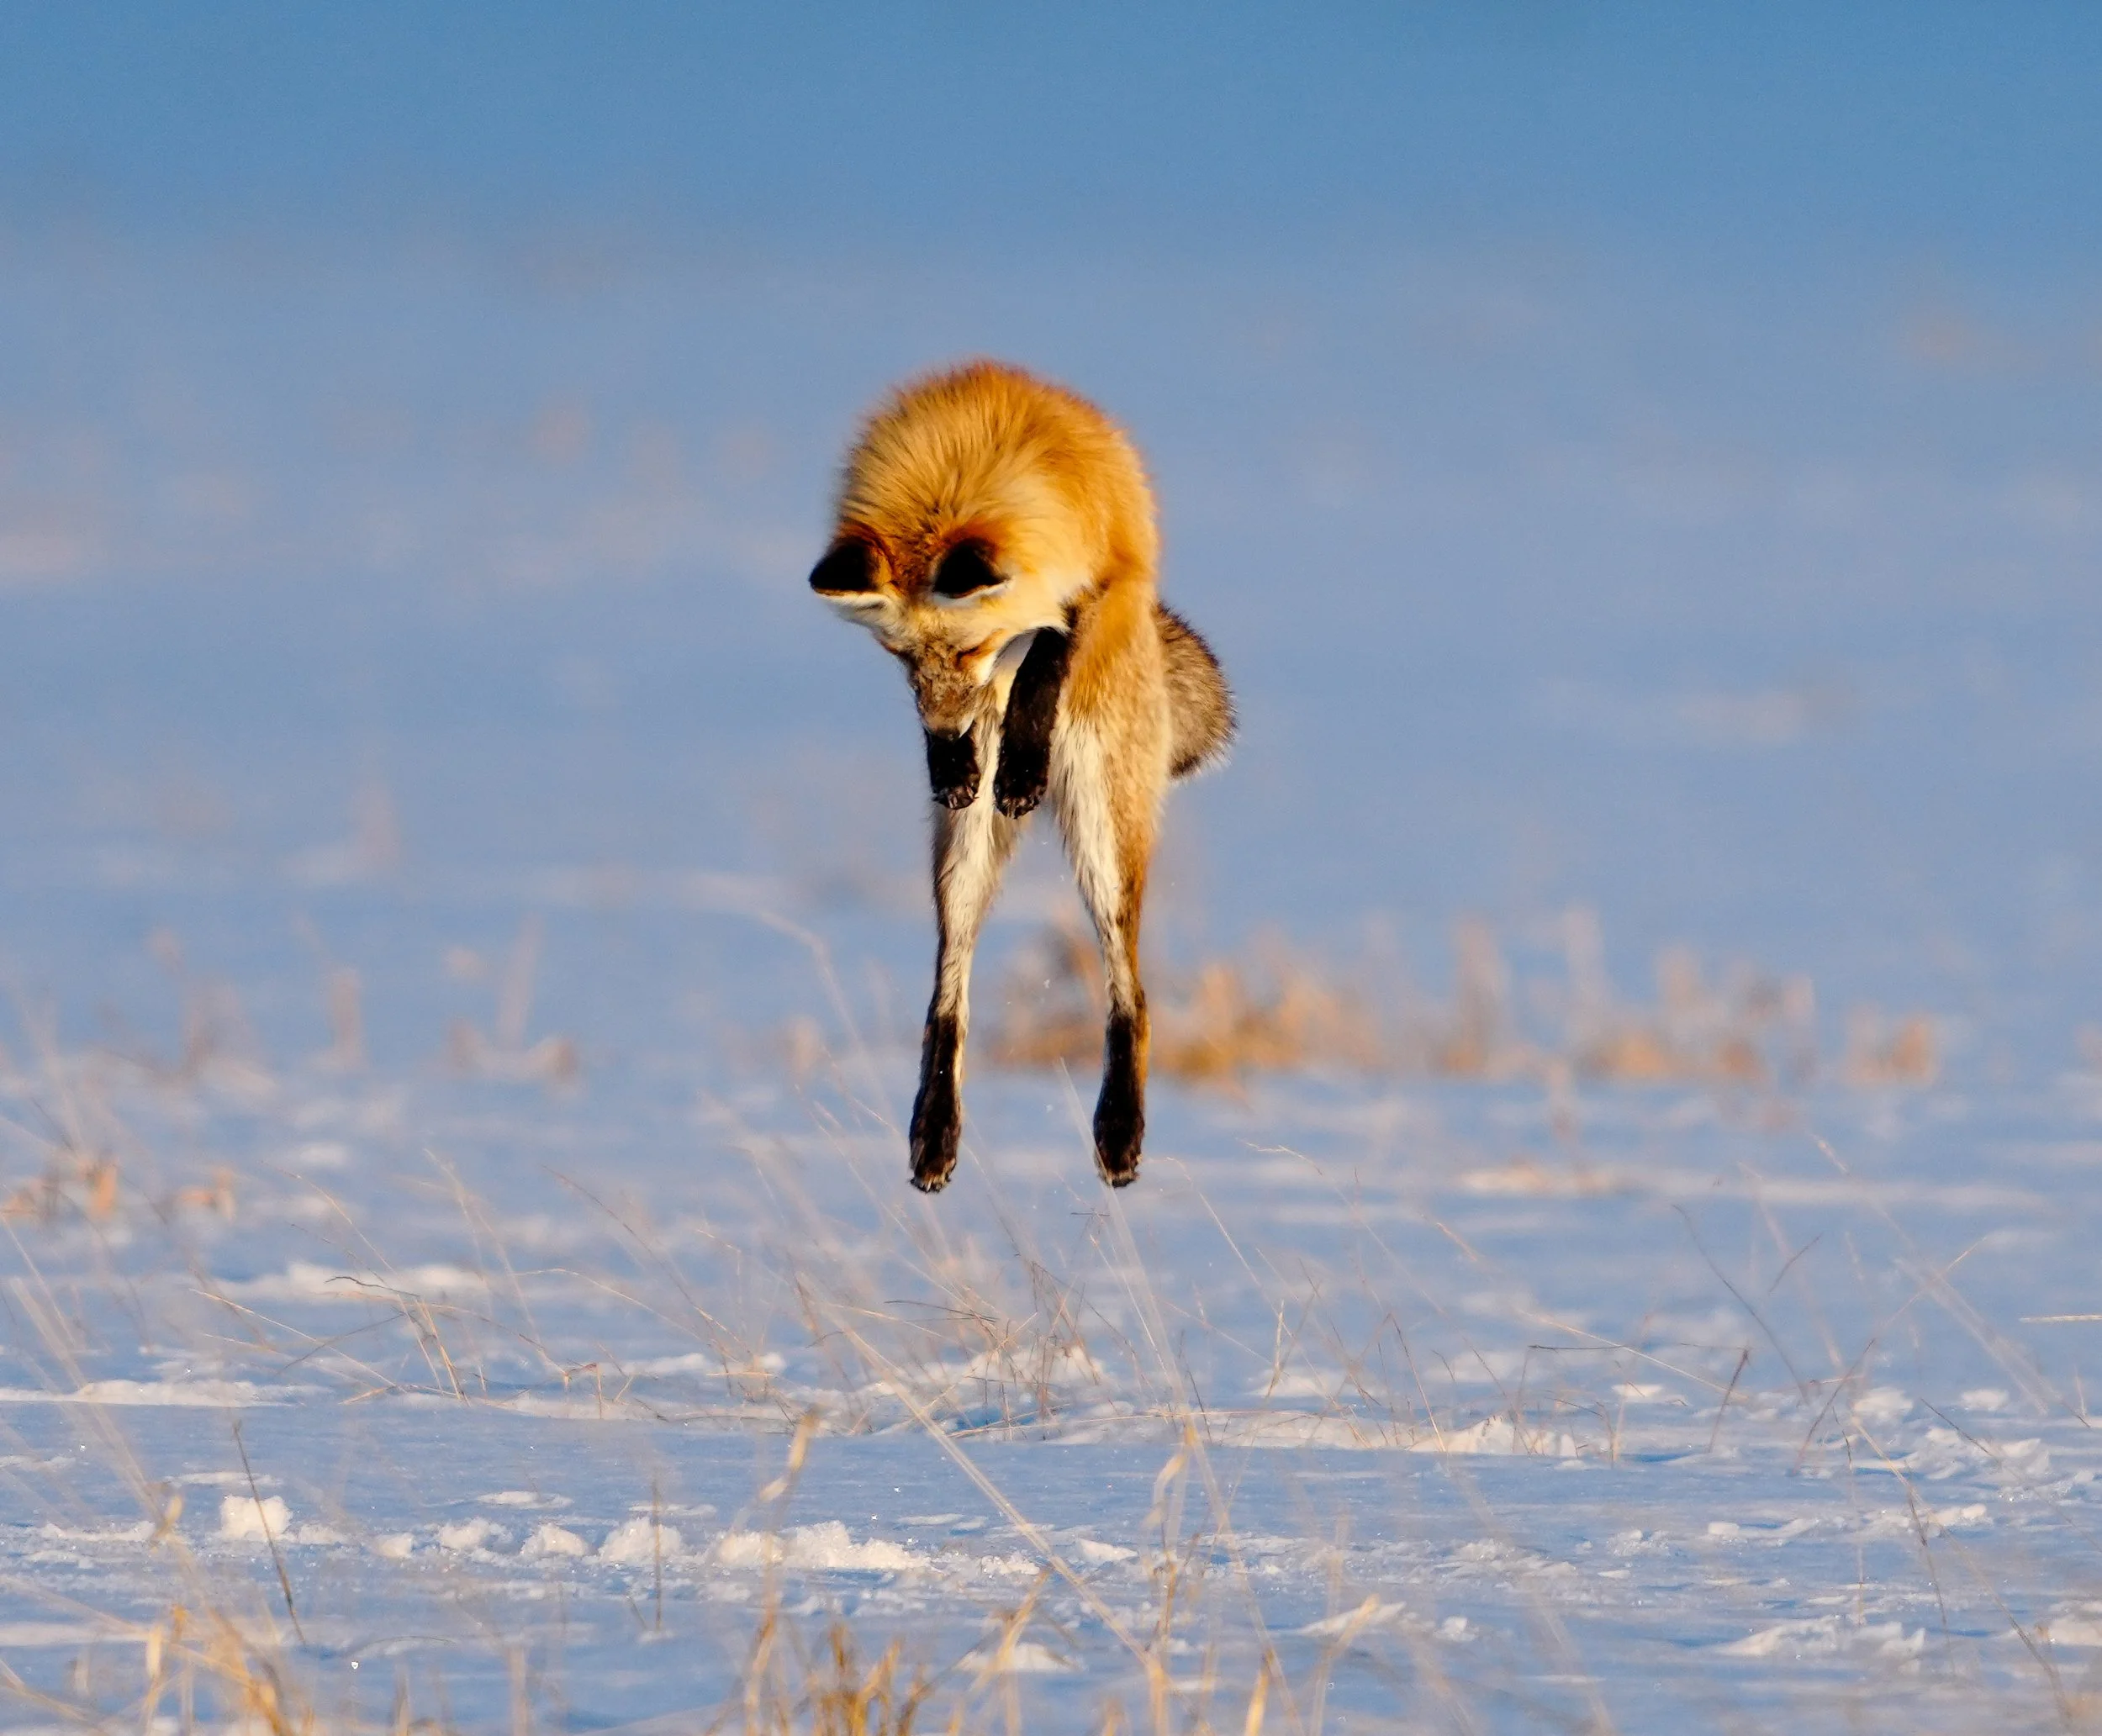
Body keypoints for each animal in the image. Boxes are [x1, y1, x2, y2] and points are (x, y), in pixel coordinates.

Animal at [808, 360, 1233, 1192]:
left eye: (970, 648)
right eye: (901, 657)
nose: (947, 741)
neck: (962, 461)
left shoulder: (1107, 572)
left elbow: (1049, 653)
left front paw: (1021, 751)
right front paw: (958, 758)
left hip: (1104, 827)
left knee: (1131, 992)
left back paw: (1119, 1130)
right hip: (963, 853)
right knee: (949, 991)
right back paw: (934, 1132)